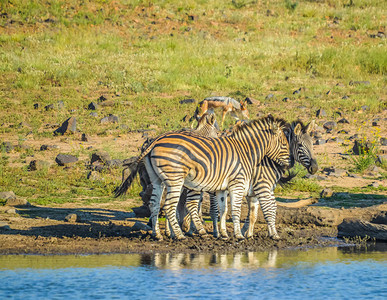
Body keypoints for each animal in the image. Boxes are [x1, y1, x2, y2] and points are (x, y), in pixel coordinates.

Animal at [115, 113, 292, 240]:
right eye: (284, 143)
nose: (290, 163)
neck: (245, 151)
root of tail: (155, 141)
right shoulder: (238, 183)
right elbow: (236, 209)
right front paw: (239, 235)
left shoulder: (222, 187)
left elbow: (223, 209)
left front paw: (224, 234)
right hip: (176, 180)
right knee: (170, 206)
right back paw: (179, 235)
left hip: (158, 180)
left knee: (154, 203)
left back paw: (157, 234)